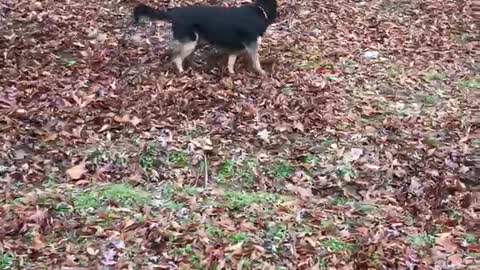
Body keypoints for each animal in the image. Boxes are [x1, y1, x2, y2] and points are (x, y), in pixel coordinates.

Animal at [134, 0, 278, 75]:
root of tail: (173, 13)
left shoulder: (235, 48)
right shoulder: (252, 46)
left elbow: (231, 62)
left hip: (195, 41)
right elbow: (256, 62)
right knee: (177, 57)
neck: (260, 10)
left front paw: (231, 74)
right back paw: (182, 72)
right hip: (191, 42)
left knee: (180, 55)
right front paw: (262, 72)